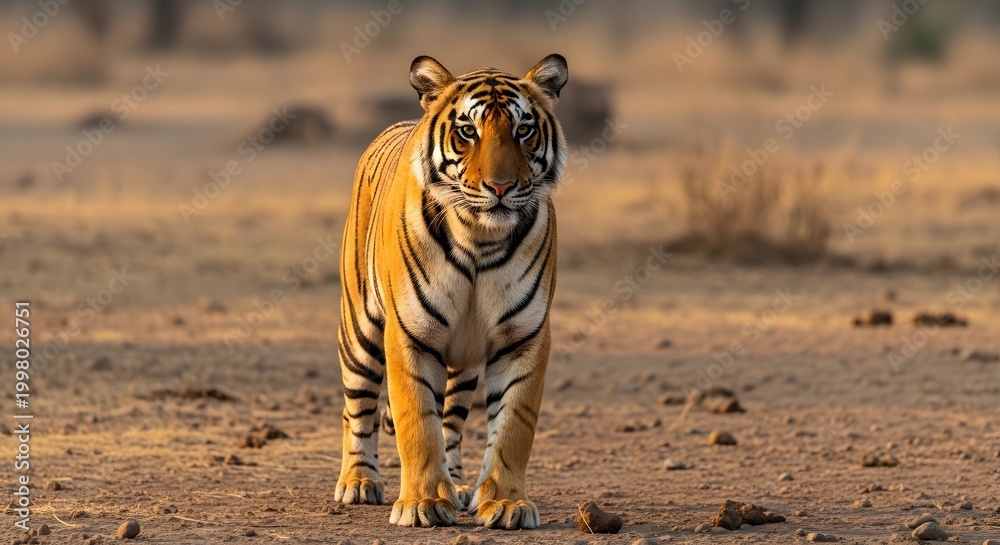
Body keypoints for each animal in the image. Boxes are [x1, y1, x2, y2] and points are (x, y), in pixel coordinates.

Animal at [333, 54, 569, 530]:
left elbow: (513, 426)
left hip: (465, 362)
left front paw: (506, 504)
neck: (480, 236)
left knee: (453, 421)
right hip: (360, 330)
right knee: (358, 408)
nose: (501, 187)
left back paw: (458, 487)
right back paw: (359, 481)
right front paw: (422, 504)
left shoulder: (524, 336)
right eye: (467, 132)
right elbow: (416, 423)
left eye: (523, 130)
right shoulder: (409, 333)